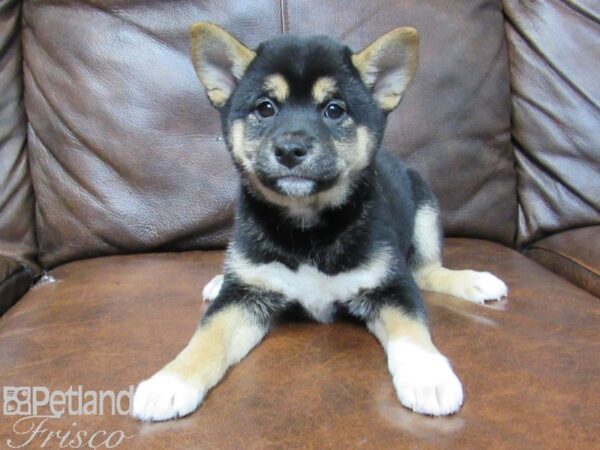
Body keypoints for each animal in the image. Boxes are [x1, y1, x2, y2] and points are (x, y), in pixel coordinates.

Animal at [131, 22, 506, 422]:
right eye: (265, 107)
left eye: (334, 109)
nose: (290, 150)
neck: (306, 226)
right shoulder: (243, 297)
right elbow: (208, 337)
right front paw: (171, 381)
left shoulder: (391, 285)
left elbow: (412, 329)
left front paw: (428, 376)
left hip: (425, 210)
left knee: (426, 270)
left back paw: (474, 282)